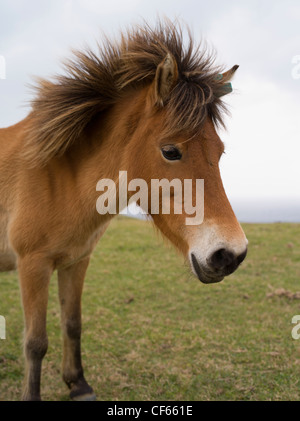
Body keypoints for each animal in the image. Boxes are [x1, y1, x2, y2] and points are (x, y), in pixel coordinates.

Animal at [0, 20, 247, 400]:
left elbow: (72, 323)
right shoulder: (33, 265)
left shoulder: (76, 261)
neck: (58, 174)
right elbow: (35, 343)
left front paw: (78, 384)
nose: (229, 254)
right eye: (170, 151)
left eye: (219, 152)